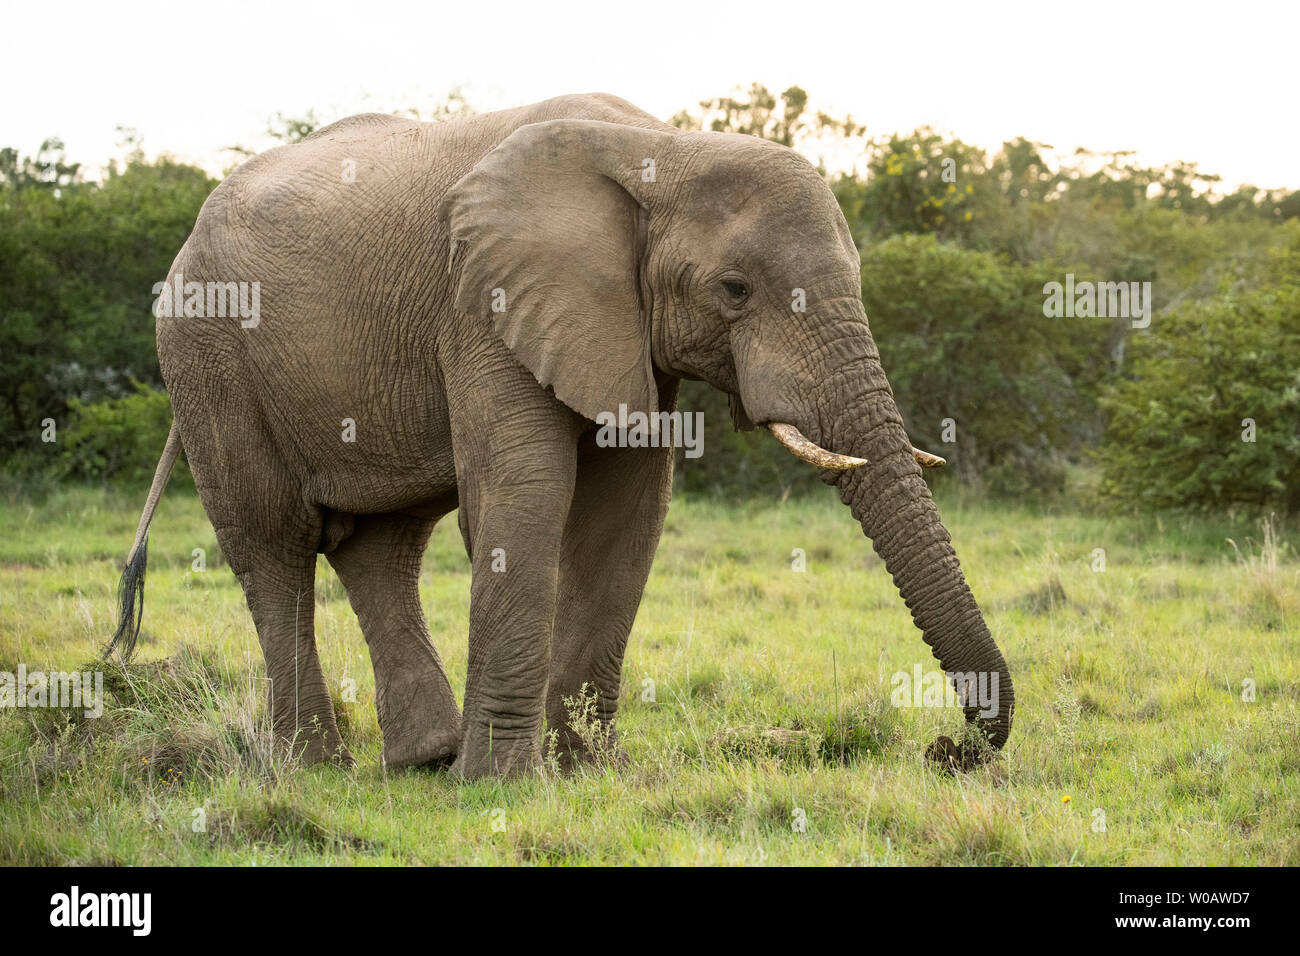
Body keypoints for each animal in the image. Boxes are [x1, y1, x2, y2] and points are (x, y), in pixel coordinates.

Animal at [106, 91, 1008, 780]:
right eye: (734, 289)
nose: (951, 748)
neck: (659, 149)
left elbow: (628, 513)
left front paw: (586, 770)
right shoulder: (482, 304)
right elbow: (527, 498)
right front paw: (502, 783)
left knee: (384, 545)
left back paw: (424, 759)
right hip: (206, 353)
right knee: (274, 546)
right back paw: (316, 768)